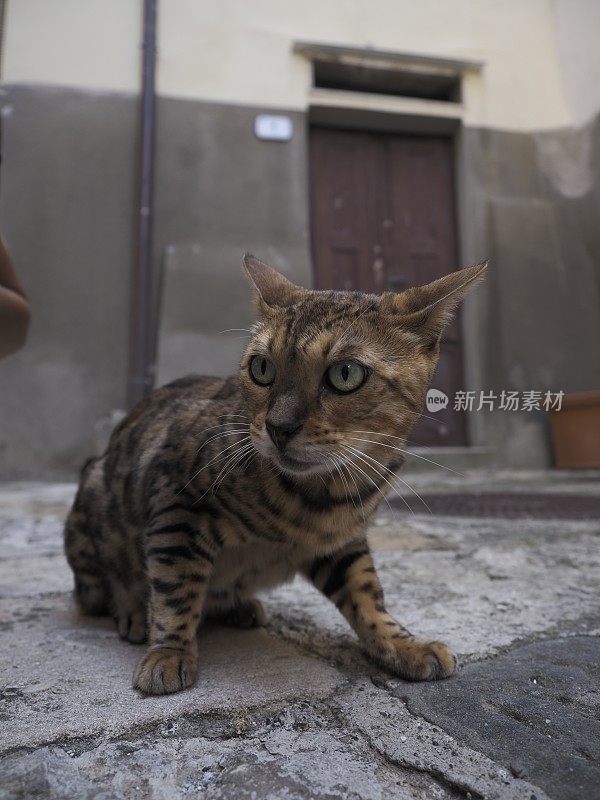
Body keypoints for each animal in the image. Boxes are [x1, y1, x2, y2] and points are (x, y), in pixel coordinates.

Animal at [64, 255, 488, 692]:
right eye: (262, 368)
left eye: (346, 374)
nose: (278, 427)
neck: (323, 495)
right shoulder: (176, 503)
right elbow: (175, 587)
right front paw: (168, 652)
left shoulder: (340, 542)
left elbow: (366, 594)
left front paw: (402, 644)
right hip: (94, 510)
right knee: (99, 589)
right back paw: (133, 610)